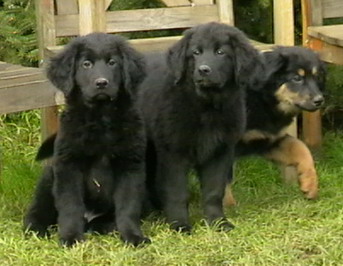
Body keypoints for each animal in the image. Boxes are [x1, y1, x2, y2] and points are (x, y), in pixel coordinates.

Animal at [22, 32, 150, 247]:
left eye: (112, 63)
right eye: (86, 64)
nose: (101, 83)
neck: (100, 120)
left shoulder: (130, 165)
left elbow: (128, 206)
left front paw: (133, 236)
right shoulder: (68, 165)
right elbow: (70, 206)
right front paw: (71, 237)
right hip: (49, 178)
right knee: (37, 211)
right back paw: (35, 229)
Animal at [138, 22, 262, 233]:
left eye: (220, 52)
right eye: (195, 53)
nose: (203, 70)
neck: (206, 107)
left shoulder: (219, 152)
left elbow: (214, 191)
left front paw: (218, 222)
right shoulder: (173, 153)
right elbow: (177, 192)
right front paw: (180, 225)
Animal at [224, 45, 326, 206]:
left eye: (317, 77)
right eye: (297, 78)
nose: (319, 100)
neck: (261, 99)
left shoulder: (268, 139)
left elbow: (301, 148)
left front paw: (310, 184)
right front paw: (229, 207)